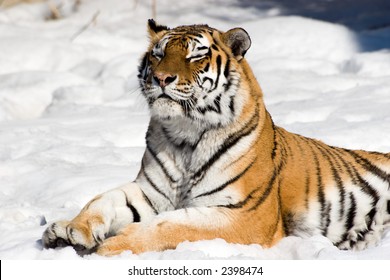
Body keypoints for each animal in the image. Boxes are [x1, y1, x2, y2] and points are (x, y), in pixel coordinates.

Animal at [41, 19, 390, 256]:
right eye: (158, 54)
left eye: (195, 56)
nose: (161, 78)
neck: (183, 135)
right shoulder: (151, 192)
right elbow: (103, 198)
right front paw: (69, 230)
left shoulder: (243, 215)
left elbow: (171, 225)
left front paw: (113, 246)